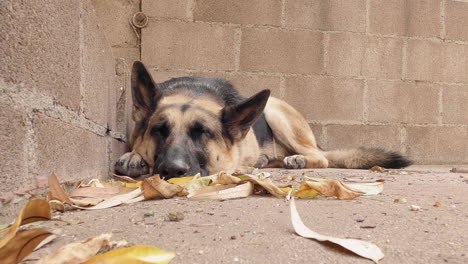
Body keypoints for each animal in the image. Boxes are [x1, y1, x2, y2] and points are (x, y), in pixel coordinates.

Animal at [115, 60, 412, 178]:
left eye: (202, 132)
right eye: (159, 130)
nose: (171, 170)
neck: (194, 91)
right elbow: (136, 147)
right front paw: (134, 156)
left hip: (275, 111)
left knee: (322, 157)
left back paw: (297, 159)